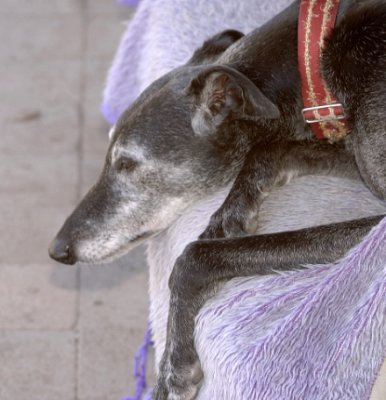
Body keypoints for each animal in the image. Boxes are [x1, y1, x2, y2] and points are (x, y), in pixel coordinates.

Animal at [49, 0, 386, 398]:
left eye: (128, 163)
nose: (58, 249)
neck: (313, 58)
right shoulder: (344, 148)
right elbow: (268, 148)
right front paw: (231, 214)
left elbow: (195, 256)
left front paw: (173, 366)